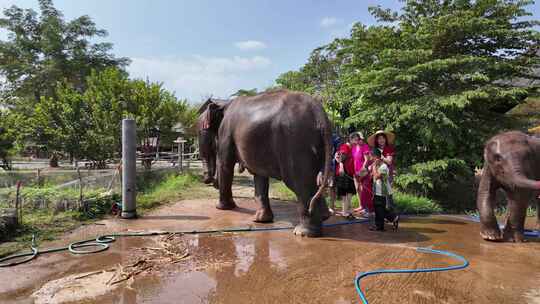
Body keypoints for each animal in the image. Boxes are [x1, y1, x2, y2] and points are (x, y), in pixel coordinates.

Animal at [198, 90, 334, 238]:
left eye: (201, 131)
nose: (209, 181)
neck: (224, 103)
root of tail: (319, 113)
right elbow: (259, 176)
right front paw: (261, 220)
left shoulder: (226, 132)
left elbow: (225, 164)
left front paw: (223, 208)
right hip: (319, 146)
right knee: (318, 179)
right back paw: (324, 217)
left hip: (296, 143)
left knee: (300, 183)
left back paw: (303, 233)